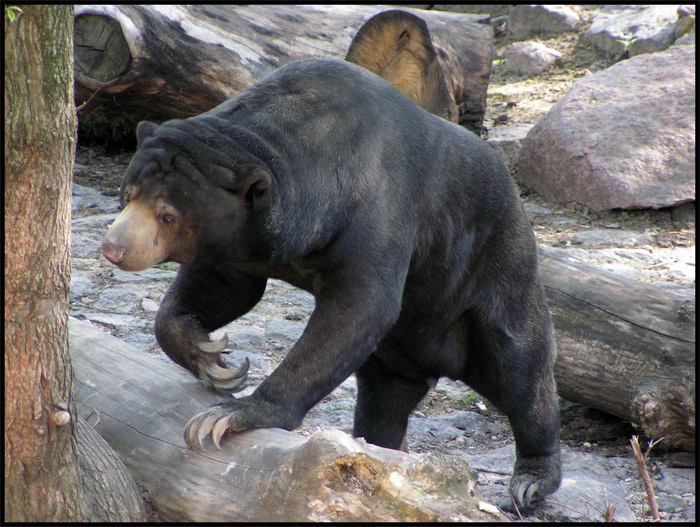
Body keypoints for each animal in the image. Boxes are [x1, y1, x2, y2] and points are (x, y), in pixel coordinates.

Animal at [100, 57, 561, 509]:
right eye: (128, 195)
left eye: (167, 215)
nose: (113, 247)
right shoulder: (241, 244)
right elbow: (223, 286)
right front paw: (212, 358)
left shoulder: (377, 208)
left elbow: (359, 308)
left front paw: (230, 416)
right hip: (394, 357)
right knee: (383, 401)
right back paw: (384, 448)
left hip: (492, 275)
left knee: (520, 372)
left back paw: (532, 479)